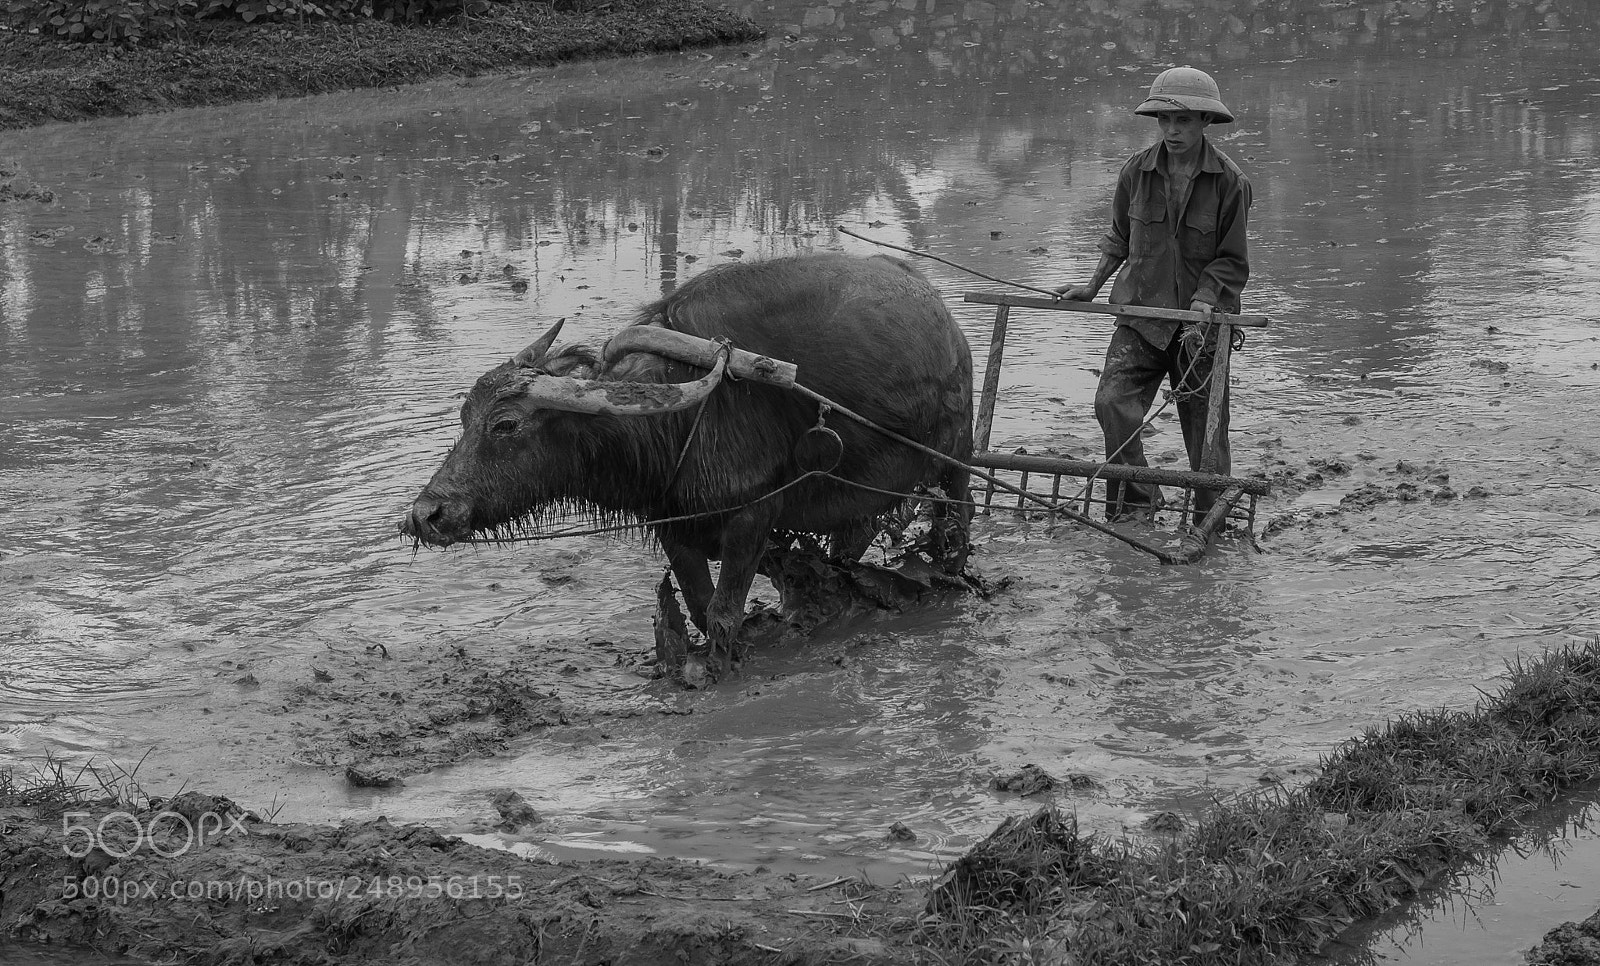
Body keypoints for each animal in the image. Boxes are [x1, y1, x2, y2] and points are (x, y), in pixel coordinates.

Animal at [401, 253, 973, 684]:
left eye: (505, 425)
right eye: (465, 416)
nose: (427, 514)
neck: (675, 419)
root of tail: (943, 318)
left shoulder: (752, 516)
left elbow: (723, 613)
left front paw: (723, 665)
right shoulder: (672, 525)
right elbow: (698, 604)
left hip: (959, 457)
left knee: (957, 520)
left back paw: (951, 575)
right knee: (850, 542)